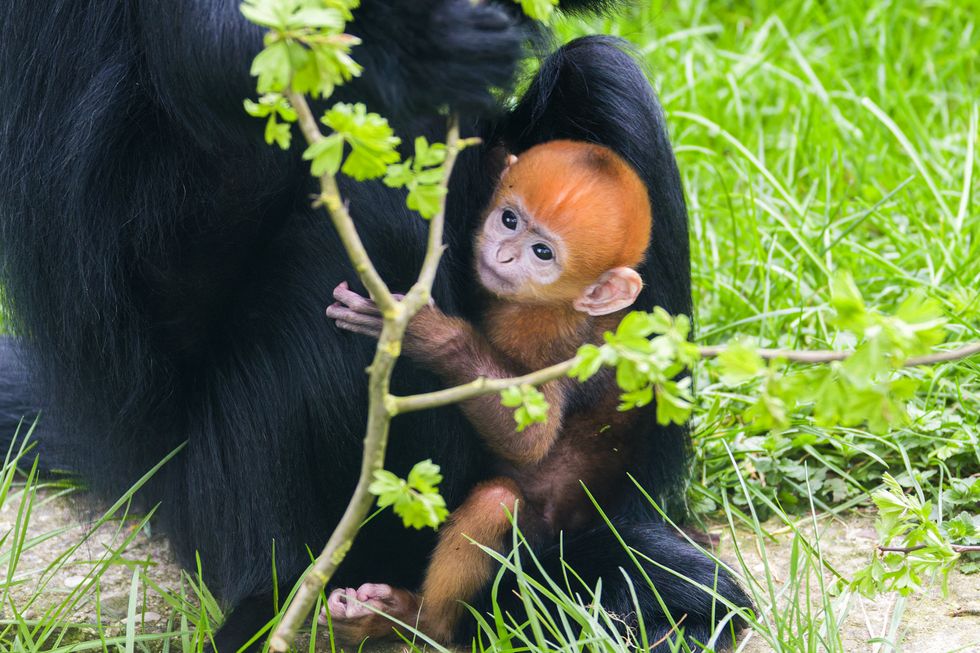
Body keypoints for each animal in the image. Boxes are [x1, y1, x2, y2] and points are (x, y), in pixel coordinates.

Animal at [326, 140, 656, 644]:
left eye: (542, 252)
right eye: (509, 220)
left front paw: (428, 335)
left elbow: (531, 438)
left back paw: (415, 621)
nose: (502, 255)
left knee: (495, 502)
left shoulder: (548, 338)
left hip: (533, 548)